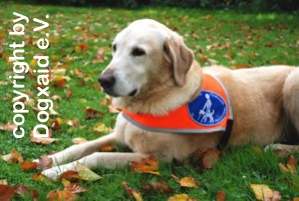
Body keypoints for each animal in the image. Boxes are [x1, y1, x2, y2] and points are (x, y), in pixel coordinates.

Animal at [40, 19, 299, 179]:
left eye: (138, 52)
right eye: (114, 47)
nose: (103, 80)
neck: (149, 99)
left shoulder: (158, 158)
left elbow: (98, 156)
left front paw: (56, 172)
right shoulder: (119, 135)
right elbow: (83, 146)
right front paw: (51, 160)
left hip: (292, 83)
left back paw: (275, 147)